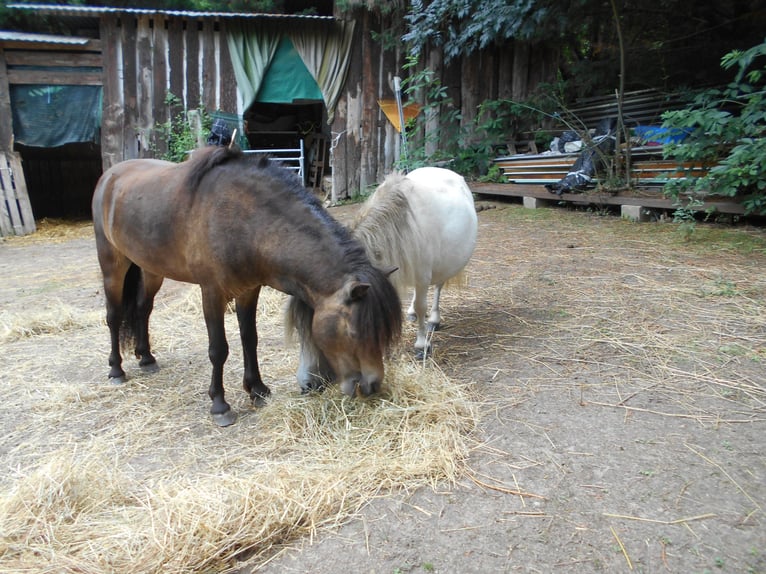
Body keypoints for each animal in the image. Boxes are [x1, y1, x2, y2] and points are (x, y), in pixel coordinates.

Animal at [92, 148, 402, 428]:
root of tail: (110, 175)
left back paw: (146, 358)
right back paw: (116, 370)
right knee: (114, 316)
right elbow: (218, 349)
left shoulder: (248, 291)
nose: (373, 385)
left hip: (151, 269)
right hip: (113, 266)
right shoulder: (212, 293)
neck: (245, 221)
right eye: (354, 333)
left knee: (143, 309)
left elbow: (249, 339)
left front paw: (258, 390)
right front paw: (220, 405)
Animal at [356, 165, 476, 356]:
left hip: (443, 266)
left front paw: (422, 345)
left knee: (438, 287)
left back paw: (434, 319)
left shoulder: (422, 276)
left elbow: (421, 307)